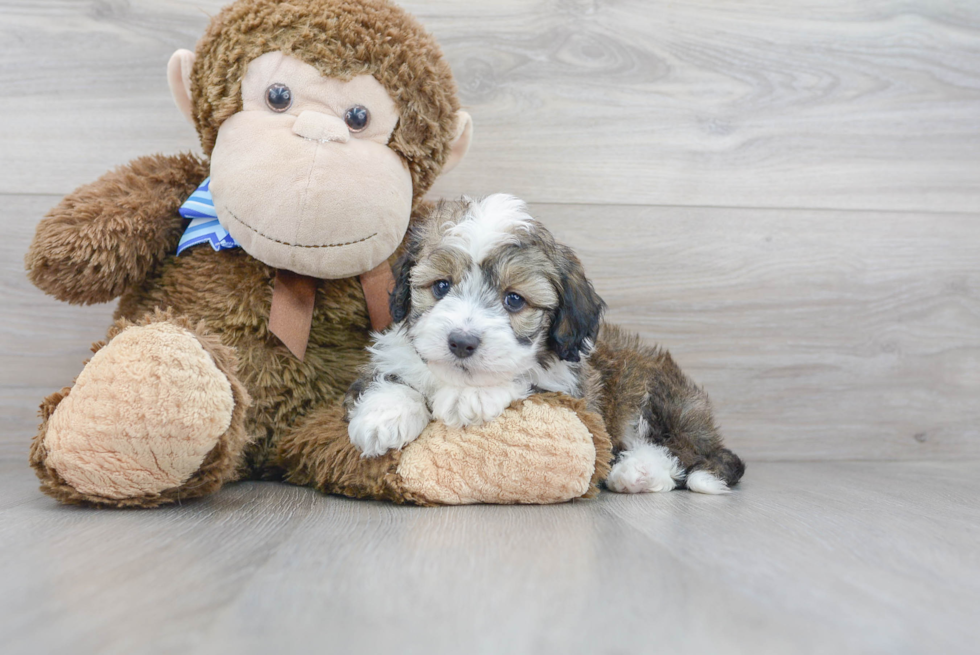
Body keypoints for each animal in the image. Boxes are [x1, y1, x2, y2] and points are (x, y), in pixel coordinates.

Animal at [344, 197, 744, 494]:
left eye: (514, 300)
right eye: (441, 286)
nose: (461, 342)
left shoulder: (573, 393)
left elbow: (526, 379)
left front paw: (472, 397)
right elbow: (391, 375)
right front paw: (384, 416)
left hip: (655, 395)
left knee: (680, 454)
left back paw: (639, 472)